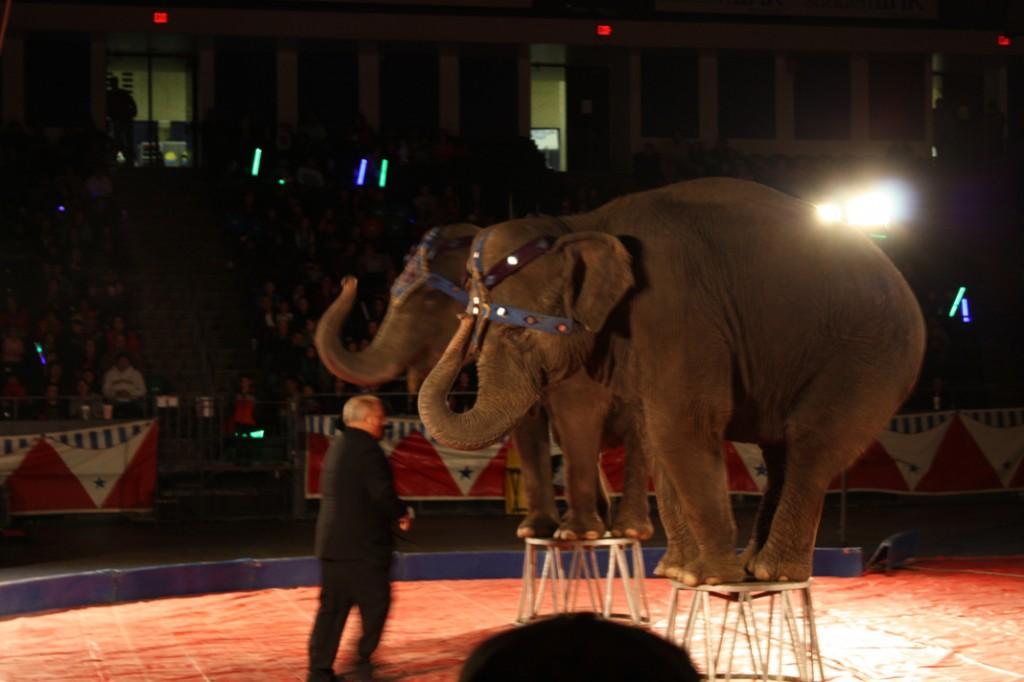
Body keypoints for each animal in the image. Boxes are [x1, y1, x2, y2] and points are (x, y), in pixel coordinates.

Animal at [415, 176, 929, 585]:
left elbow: (681, 425)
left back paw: (774, 573)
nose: (463, 310)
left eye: (516, 332)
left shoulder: (674, 310)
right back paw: (755, 565)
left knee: (811, 443)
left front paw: (713, 577)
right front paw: (681, 572)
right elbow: (654, 432)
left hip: (867, 359)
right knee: (780, 451)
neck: (583, 221)